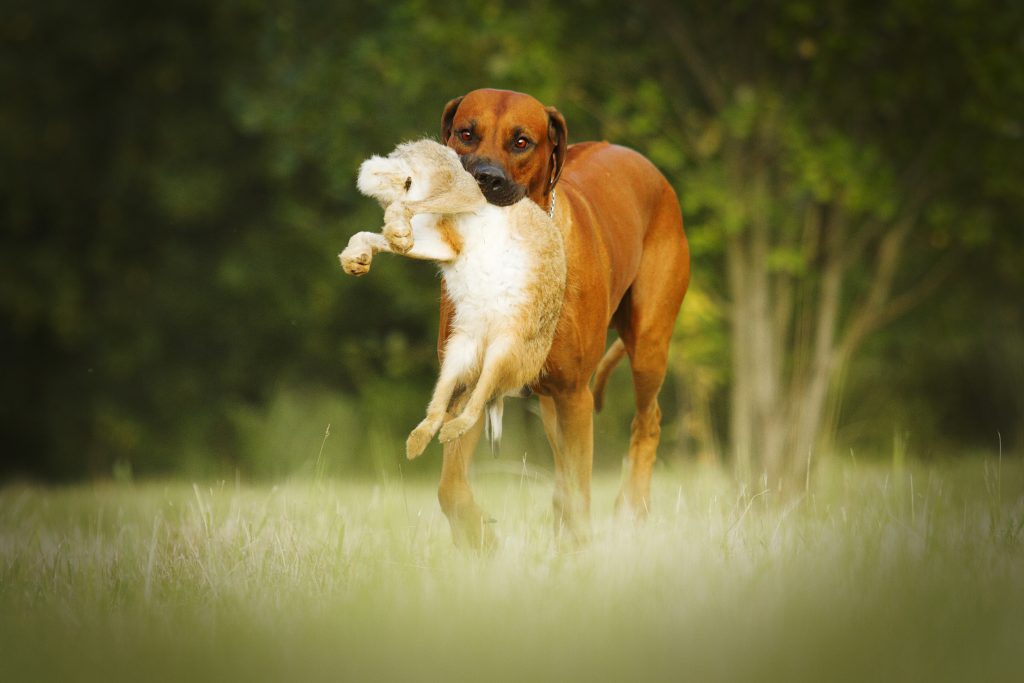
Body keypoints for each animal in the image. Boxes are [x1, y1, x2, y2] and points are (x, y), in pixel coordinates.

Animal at [432, 89, 688, 548]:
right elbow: (450, 487)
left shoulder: (574, 393)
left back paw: (632, 509)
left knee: (648, 422)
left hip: (648, 343)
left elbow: (579, 492)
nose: (483, 179)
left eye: (521, 142)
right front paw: (477, 539)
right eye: (466, 134)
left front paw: (577, 551)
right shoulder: (468, 382)